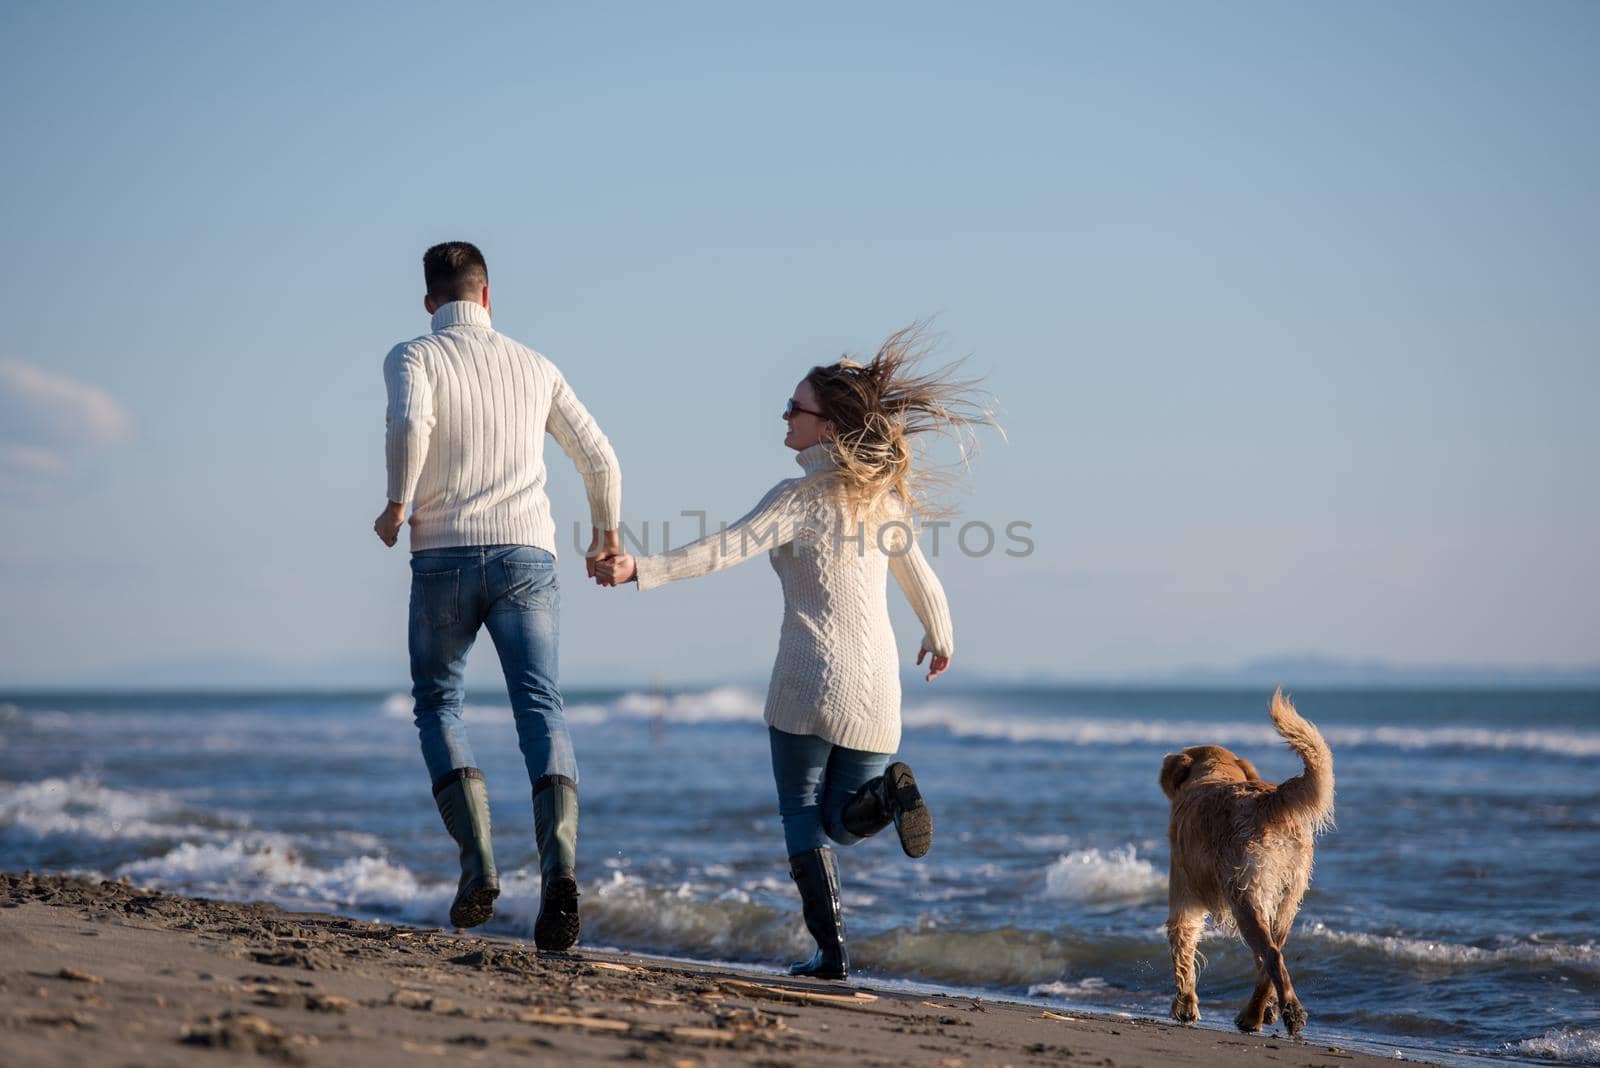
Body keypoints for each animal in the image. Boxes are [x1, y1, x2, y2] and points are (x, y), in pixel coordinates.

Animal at [1164, 693, 1337, 1036]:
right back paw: (1257, 1014)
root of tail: (1270, 800)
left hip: (1244, 896)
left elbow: (1184, 955)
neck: (1215, 772)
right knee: (1274, 952)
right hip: (1286, 897)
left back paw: (1281, 1013)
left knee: (1270, 954)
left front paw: (1185, 1007)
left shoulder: (1184, 897)